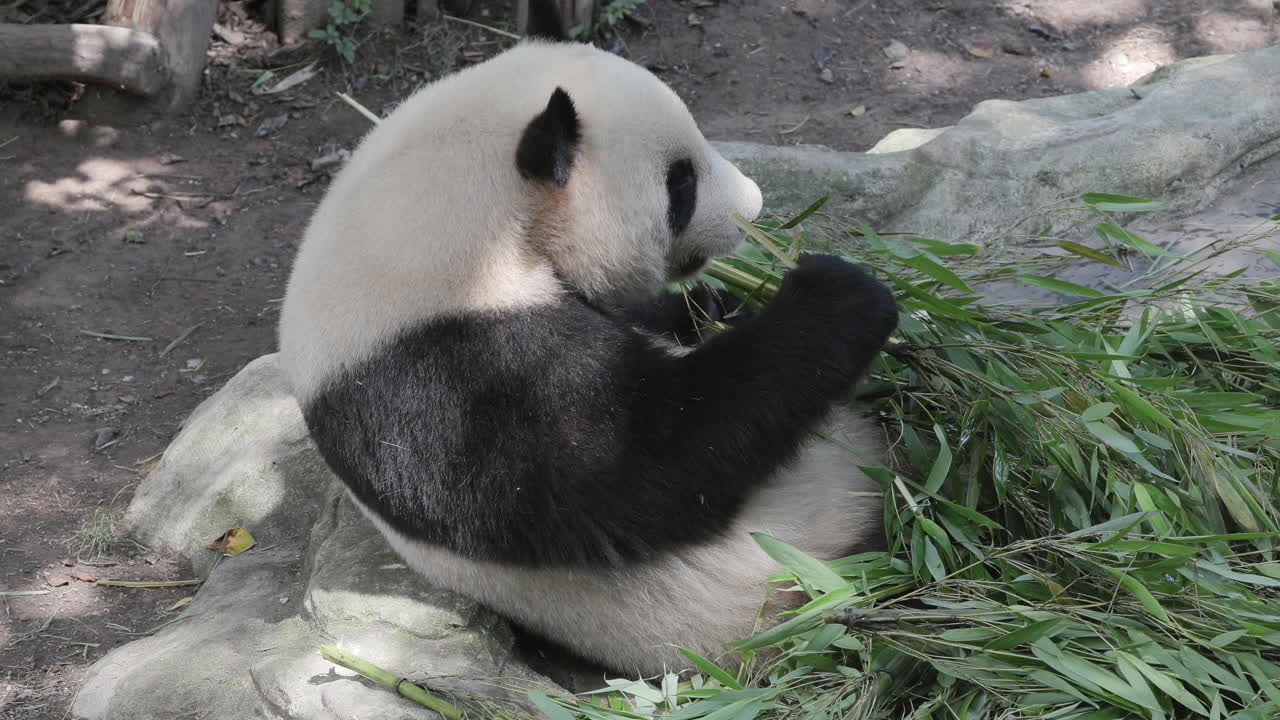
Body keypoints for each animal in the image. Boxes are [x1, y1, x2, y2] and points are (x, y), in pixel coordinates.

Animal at [278, 0, 898, 677]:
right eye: (680, 184)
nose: (754, 208)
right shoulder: (454, 376)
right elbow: (647, 461)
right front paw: (842, 295)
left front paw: (714, 307)